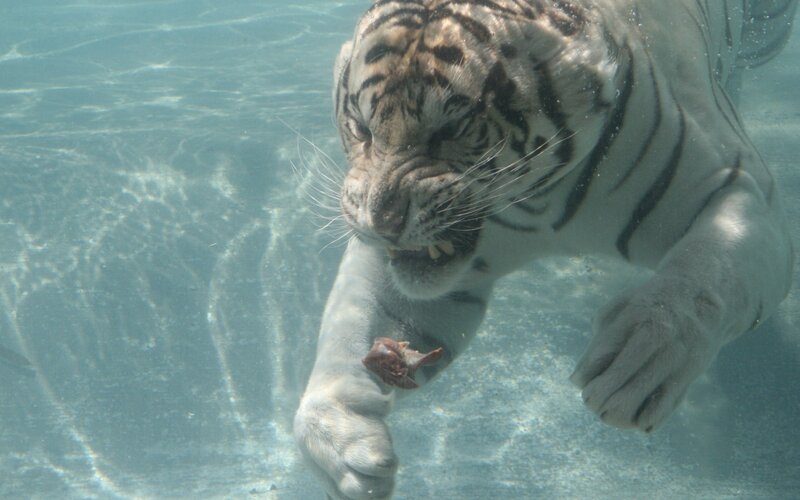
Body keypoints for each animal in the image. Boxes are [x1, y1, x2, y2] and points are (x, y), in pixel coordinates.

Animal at [294, 0, 798, 498]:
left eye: (451, 129)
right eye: (362, 128)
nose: (383, 224)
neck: (539, 202)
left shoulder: (741, 190)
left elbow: (705, 275)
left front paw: (641, 360)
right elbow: (352, 323)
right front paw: (341, 441)